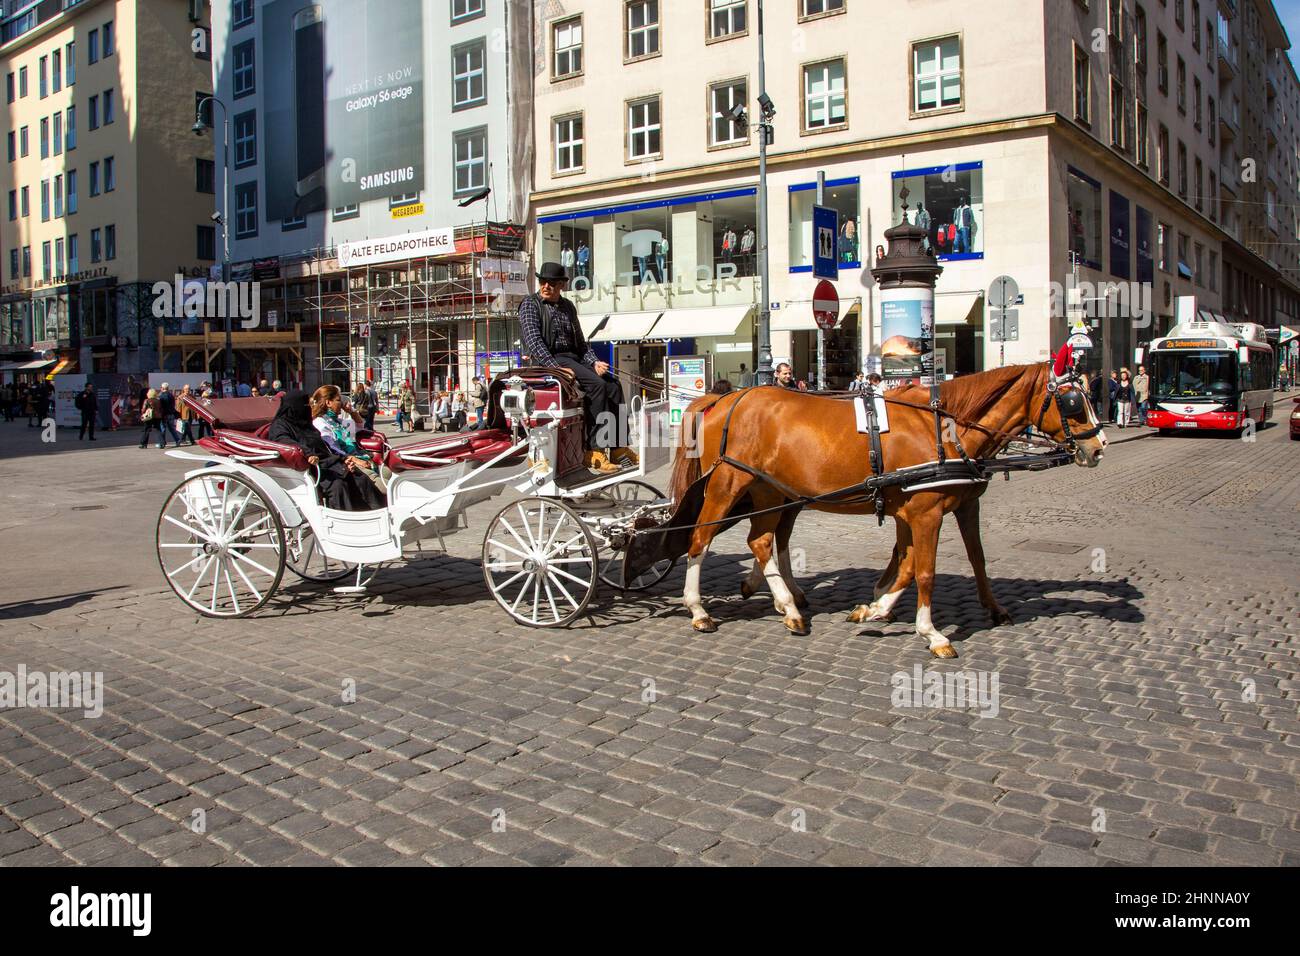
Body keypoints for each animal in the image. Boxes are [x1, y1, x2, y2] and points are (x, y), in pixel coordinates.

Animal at [670, 358, 1107, 658]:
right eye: (1072, 402)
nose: (1098, 448)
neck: (944, 429)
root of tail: (721, 400)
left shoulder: (942, 508)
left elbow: (949, 560)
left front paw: (877, 607)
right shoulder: (925, 512)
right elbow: (924, 570)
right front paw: (930, 631)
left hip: (770, 492)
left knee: (761, 540)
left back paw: (788, 606)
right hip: (727, 486)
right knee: (699, 539)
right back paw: (698, 609)